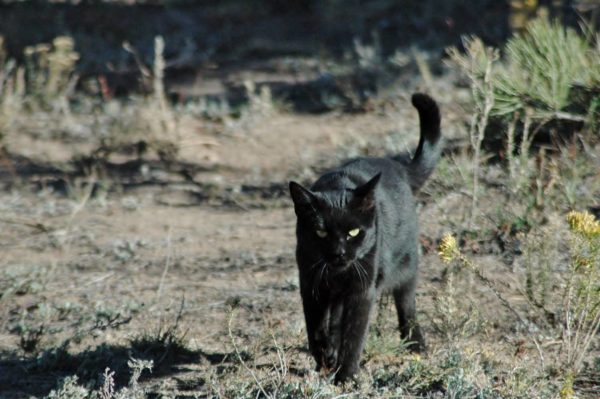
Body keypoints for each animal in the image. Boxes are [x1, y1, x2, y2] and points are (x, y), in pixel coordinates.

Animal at [290, 93, 440, 384]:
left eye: (354, 232)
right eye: (321, 232)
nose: (339, 253)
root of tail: (399, 167)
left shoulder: (361, 289)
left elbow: (354, 335)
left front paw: (346, 375)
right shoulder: (311, 283)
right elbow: (316, 328)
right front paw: (325, 357)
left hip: (405, 266)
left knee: (407, 303)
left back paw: (416, 344)